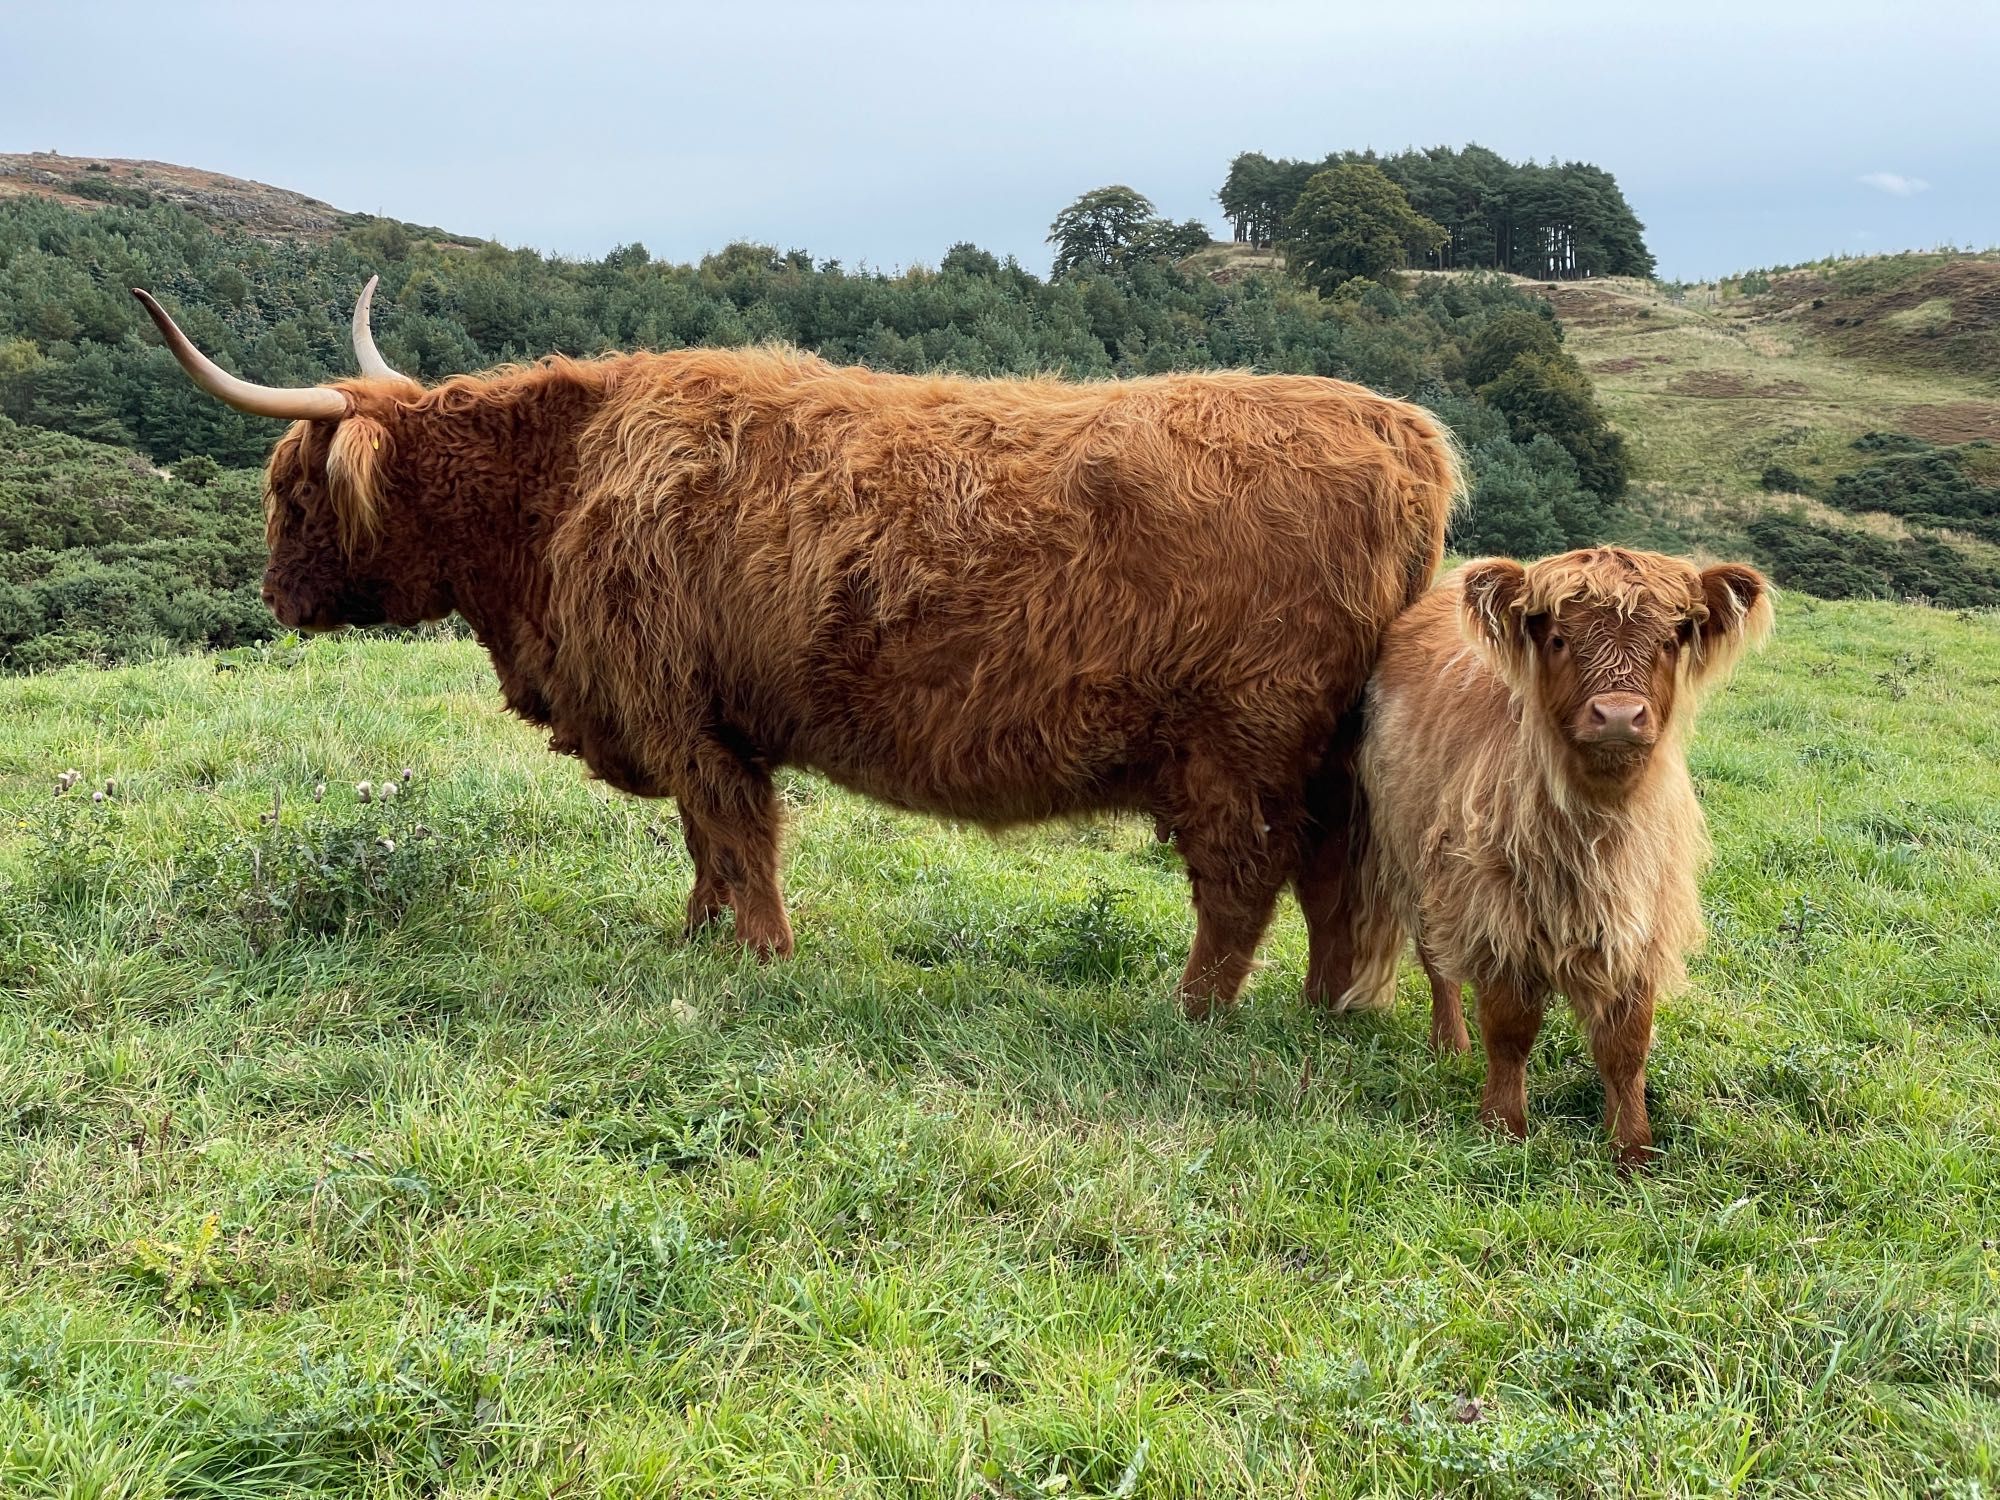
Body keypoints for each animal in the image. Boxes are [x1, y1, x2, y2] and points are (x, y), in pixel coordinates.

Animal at [133, 280, 1464, 1024]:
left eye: (290, 494)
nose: (275, 597)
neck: (553, 492)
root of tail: (1402, 430)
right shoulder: (693, 718)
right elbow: (704, 846)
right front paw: (696, 938)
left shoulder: (682, 710)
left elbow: (735, 835)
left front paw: (760, 959)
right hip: (1320, 756)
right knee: (1334, 888)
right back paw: (1324, 1011)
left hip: (1241, 744)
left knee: (1244, 881)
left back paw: (1188, 1013)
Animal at [1336, 548, 1776, 1168]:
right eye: (1560, 638)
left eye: (1672, 639)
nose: (1618, 715)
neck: (1594, 832)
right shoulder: (1495, 913)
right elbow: (1510, 1031)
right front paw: (1503, 1128)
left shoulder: (1640, 922)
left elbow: (1626, 1046)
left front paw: (1632, 1150)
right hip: (1413, 860)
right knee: (1437, 961)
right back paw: (1450, 1045)